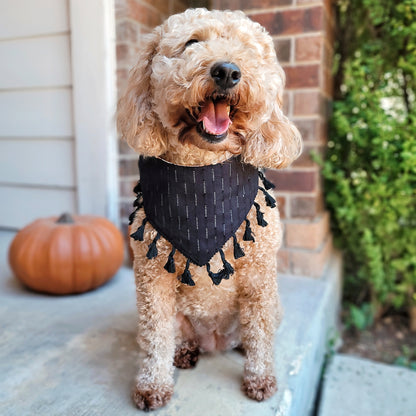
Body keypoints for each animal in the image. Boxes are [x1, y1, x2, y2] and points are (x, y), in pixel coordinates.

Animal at [117, 8, 302, 412]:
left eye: (248, 49)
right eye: (191, 43)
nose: (228, 71)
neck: (201, 170)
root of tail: (214, 338)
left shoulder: (260, 276)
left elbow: (260, 332)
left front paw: (259, 378)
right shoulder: (150, 282)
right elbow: (155, 340)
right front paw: (152, 386)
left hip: (271, 306)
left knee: (253, 332)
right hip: (171, 318)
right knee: (171, 337)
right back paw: (184, 352)